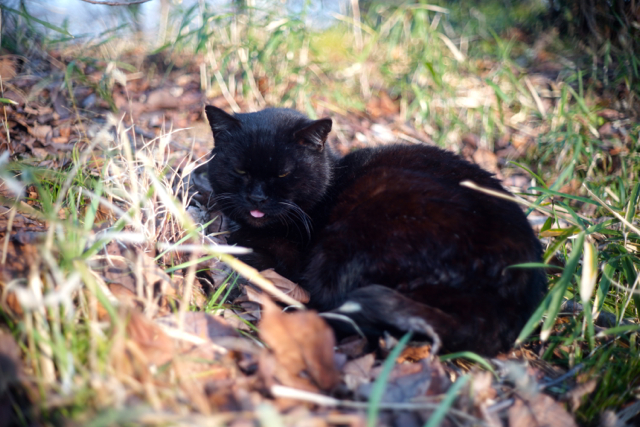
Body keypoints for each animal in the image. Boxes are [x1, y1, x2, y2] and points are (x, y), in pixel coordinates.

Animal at [205, 105, 546, 356]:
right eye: (239, 170)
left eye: (283, 174)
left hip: (355, 237)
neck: (333, 180)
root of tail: (510, 301)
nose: (257, 198)